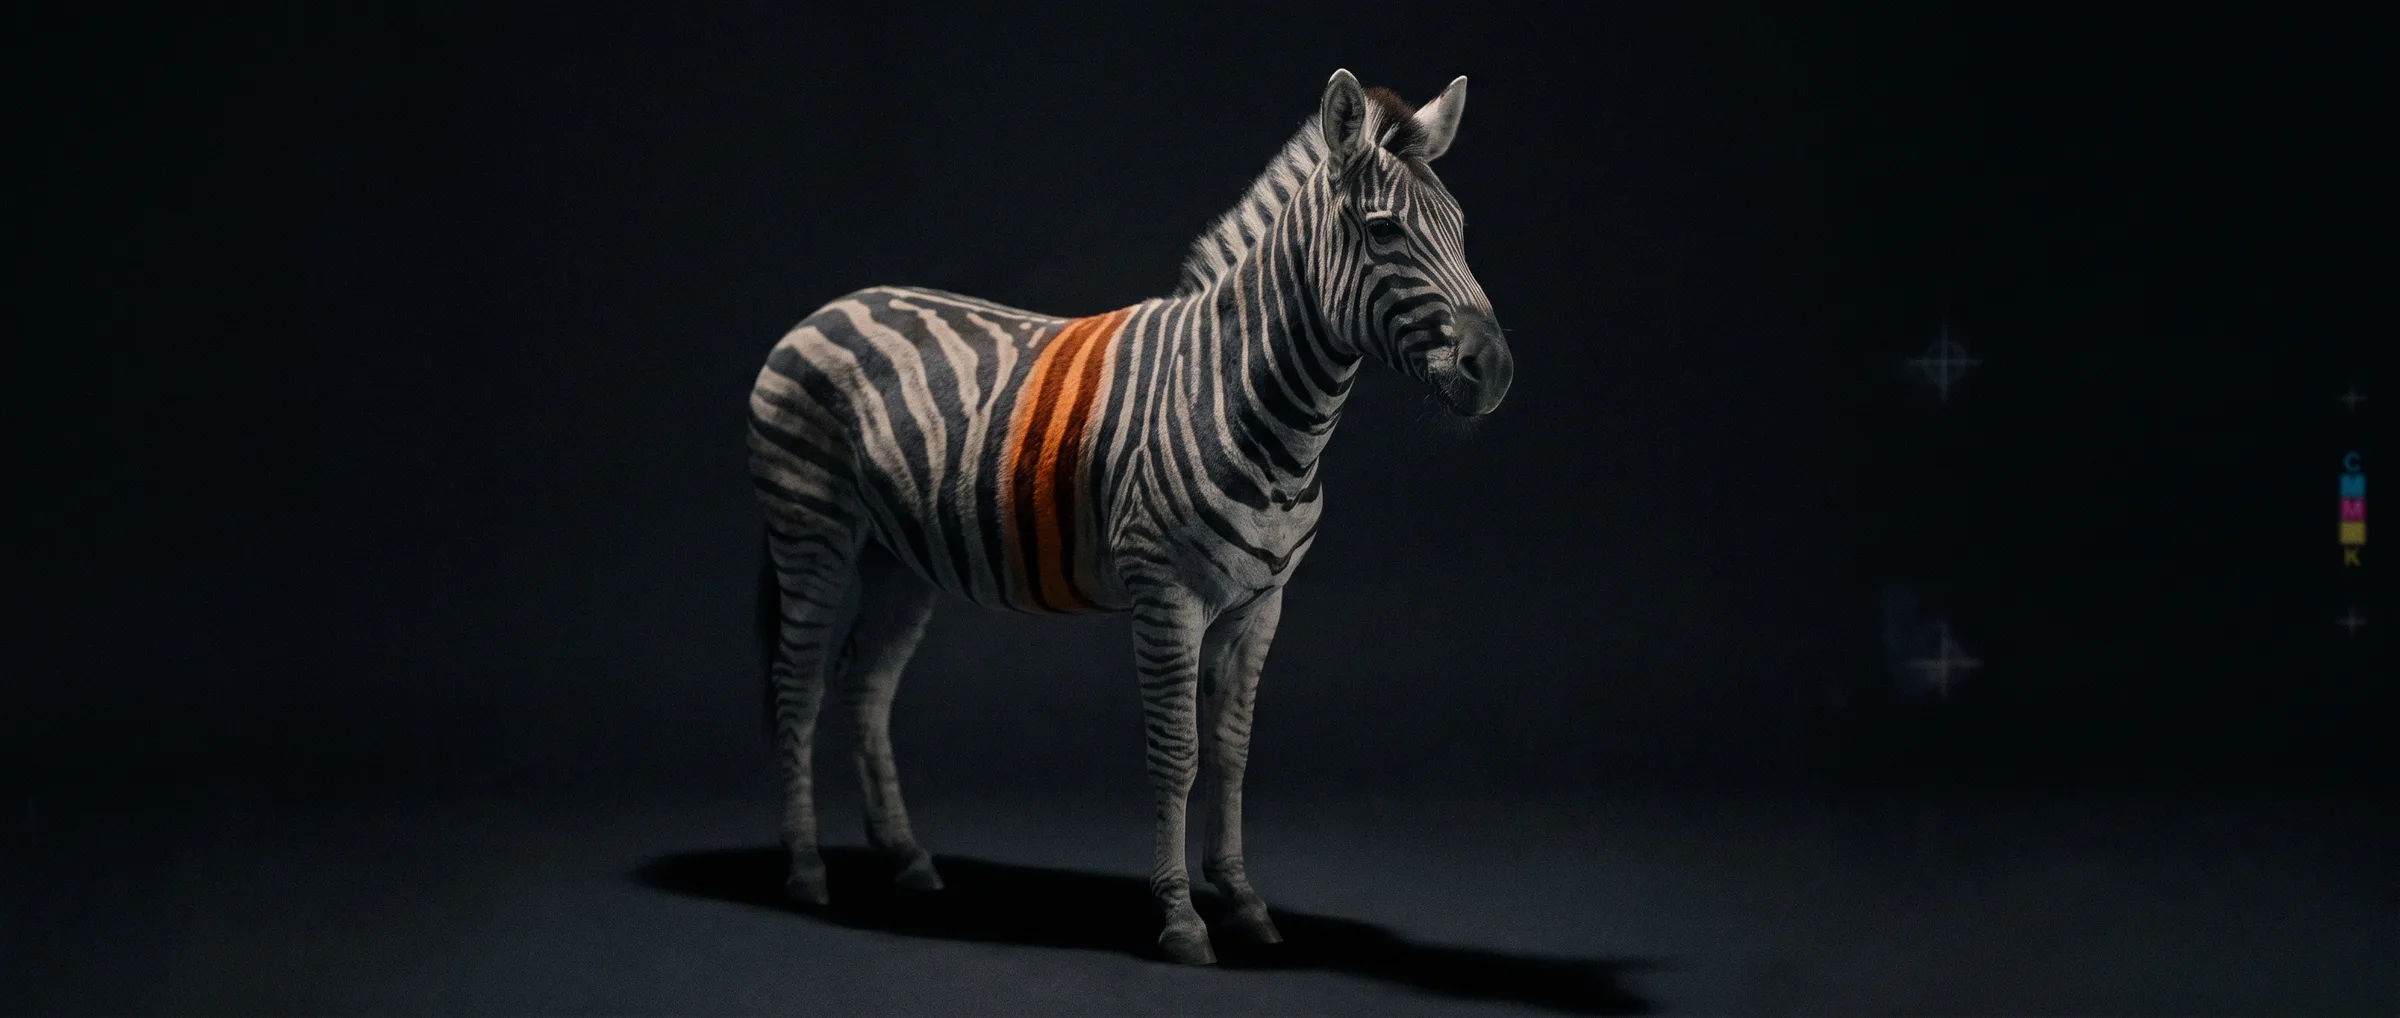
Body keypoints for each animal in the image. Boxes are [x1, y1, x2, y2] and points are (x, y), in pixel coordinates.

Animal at [746, 69, 1513, 964]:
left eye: (1460, 230)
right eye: (1385, 231)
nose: (1495, 369)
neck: (1248, 403)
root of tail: (831, 306)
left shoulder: (1261, 607)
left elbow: (1232, 751)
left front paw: (1242, 900)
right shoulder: (1166, 597)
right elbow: (1177, 753)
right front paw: (1180, 917)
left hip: (897, 558)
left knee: (863, 683)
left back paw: (906, 859)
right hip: (812, 528)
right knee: (796, 684)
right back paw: (805, 869)